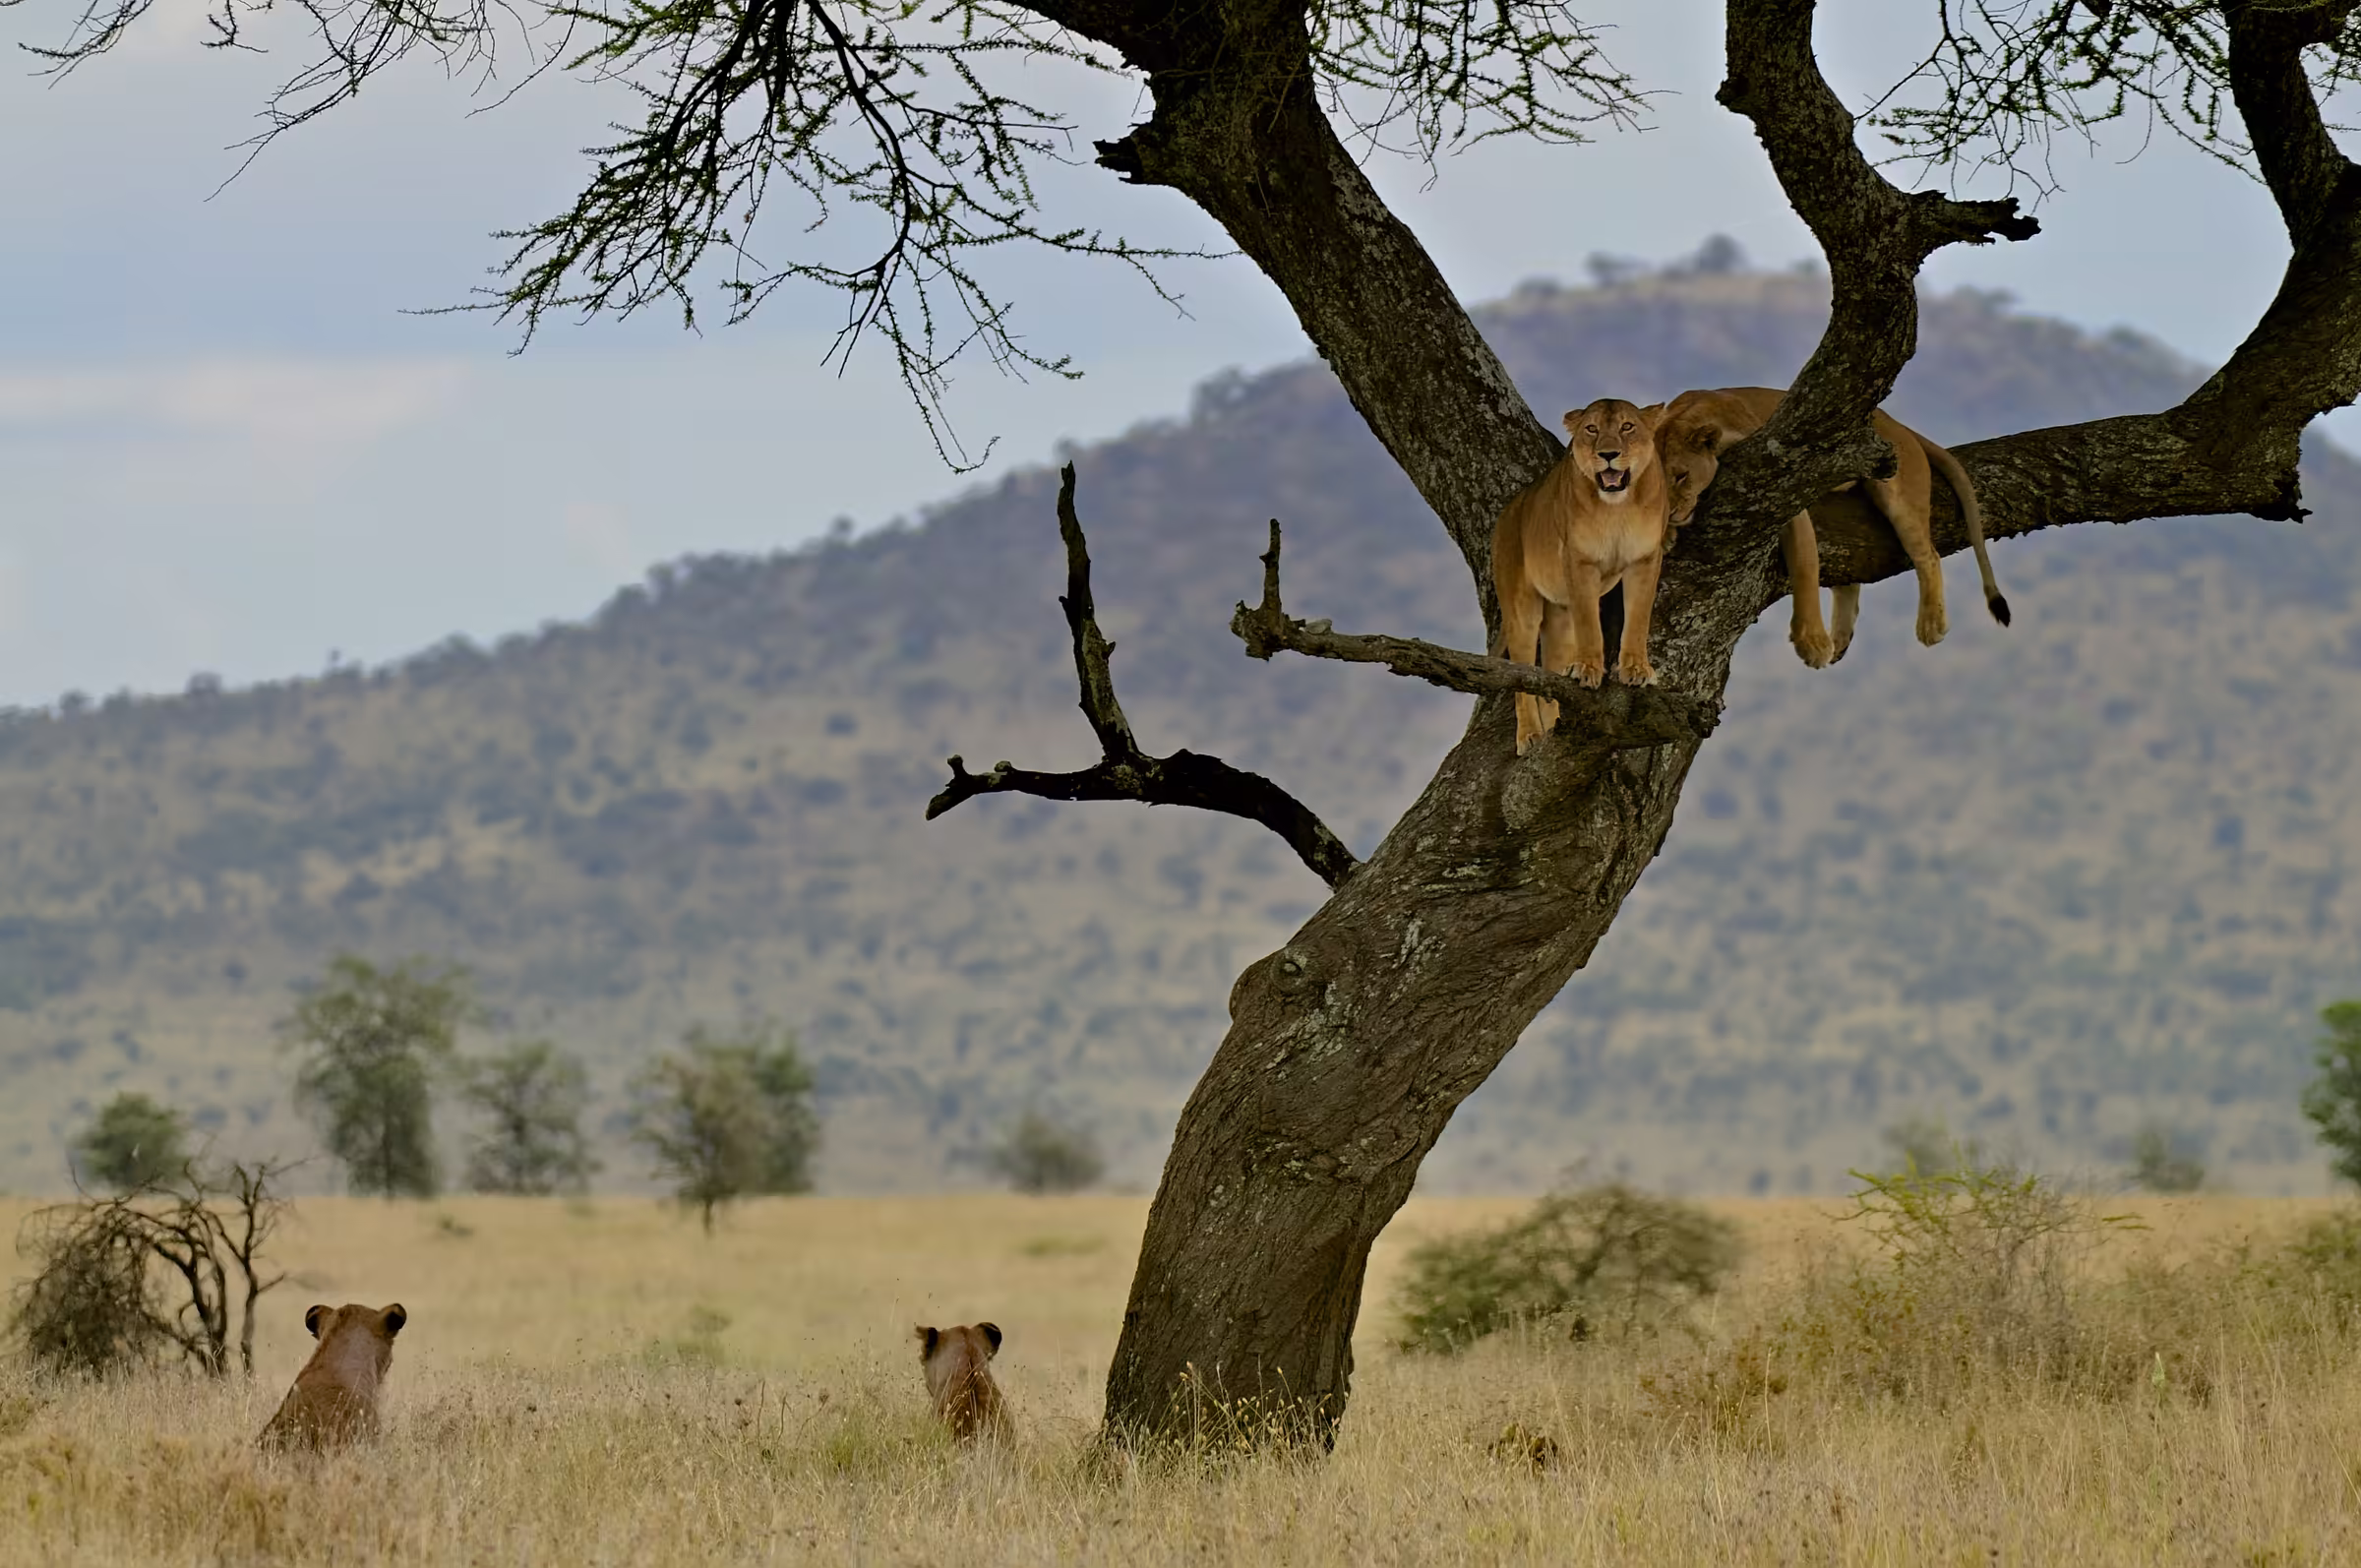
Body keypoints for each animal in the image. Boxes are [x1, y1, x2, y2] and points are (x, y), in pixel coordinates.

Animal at [1491, 397, 1673, 754]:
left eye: (1627, 426)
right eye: (1591, 429)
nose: (1608, 454)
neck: (1617, 507)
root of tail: (1507, 513)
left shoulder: (1645, 559)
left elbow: (1639, 617)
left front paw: (1636, 669)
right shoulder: (1579, 561)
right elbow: (1590, 622)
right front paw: (1588, 669)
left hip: (1559, 616)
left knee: (1549, 672)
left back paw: (1555, 724)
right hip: (1522, 611)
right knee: (1522, 679)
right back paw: (1530, 736)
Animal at [1656, 386, 2009, 668]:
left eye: (1681, 476)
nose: (1671, 512)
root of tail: (1896, 422)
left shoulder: (1785, 486)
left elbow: (1806, 565)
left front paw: (1811, 643)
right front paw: (1666, 535)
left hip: (1899, 494)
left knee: (1928, 556)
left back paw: (1930, 624)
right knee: (1850, 578)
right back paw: (1841, 640)